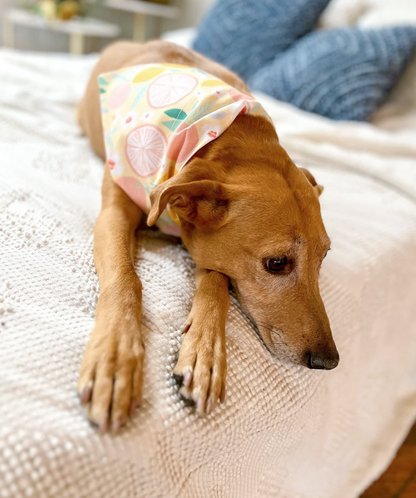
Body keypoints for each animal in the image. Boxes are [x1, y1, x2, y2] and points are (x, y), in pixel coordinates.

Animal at [76, 40, 340, 434]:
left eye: (323, 258)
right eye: (276, 263)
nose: (329, 361)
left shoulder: (212, 248)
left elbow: (216, 284)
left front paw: (204, 353)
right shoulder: (114, 215)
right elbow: (126, 279)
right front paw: (115, 356)